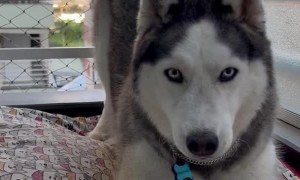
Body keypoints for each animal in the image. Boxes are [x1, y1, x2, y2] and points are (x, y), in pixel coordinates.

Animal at [89, 0, 278, 179]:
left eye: (228, 72)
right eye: (174, 73)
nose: (202, 143)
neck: (204, 169)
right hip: (103, 43)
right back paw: (102, 131)